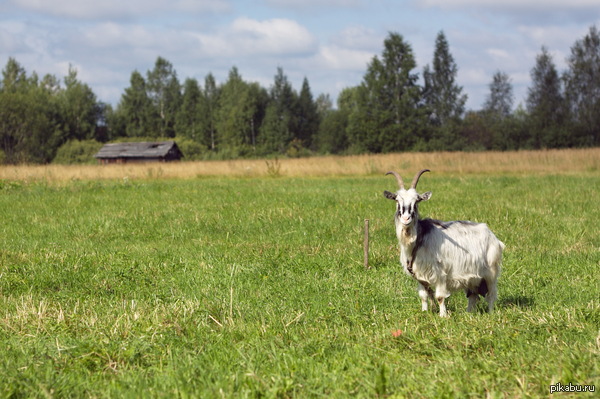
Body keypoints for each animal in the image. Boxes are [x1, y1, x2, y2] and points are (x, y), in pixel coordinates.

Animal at [382, 170, 504, 318]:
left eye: (416, 201)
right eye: (397, 200)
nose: (406, 218)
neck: (419, 240)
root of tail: (492, 236)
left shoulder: (440, 274)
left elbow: (440, 297)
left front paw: (443, 316)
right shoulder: (420, 277)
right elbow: (423, 296)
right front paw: (424, 312)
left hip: (491, 271)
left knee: (491, 294)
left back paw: (490, 313)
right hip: (473, 277)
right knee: (473, 295)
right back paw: (469, 313)